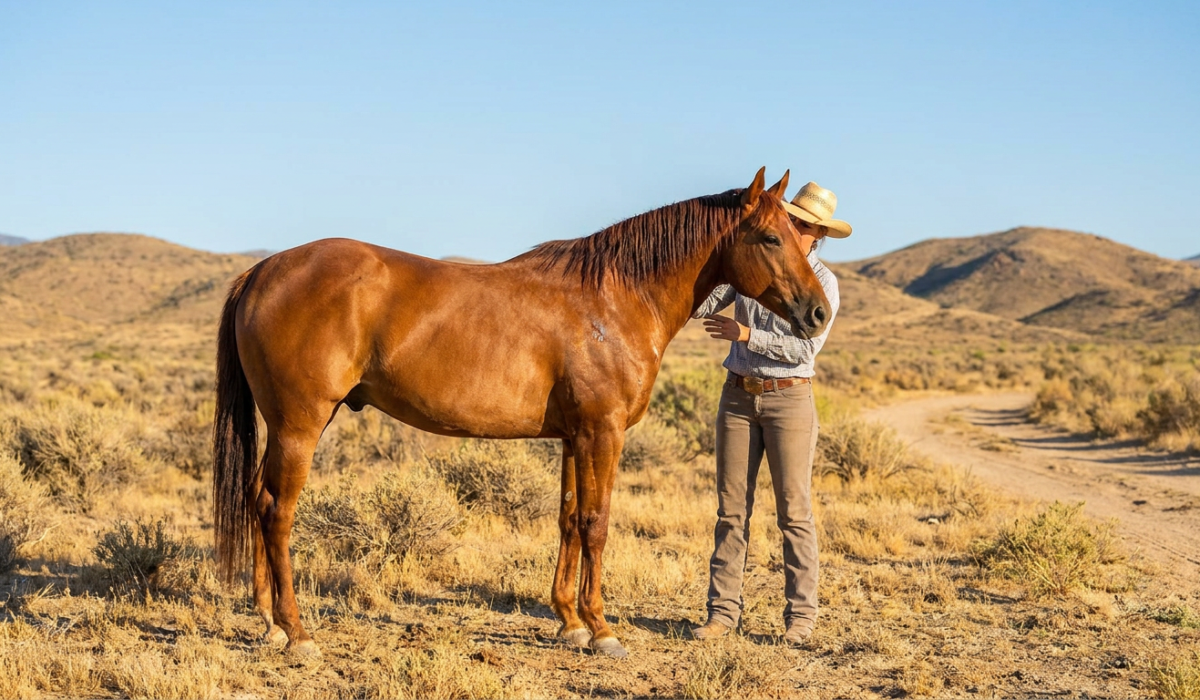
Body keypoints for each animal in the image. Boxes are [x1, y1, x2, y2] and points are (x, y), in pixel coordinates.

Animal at [212, 167, 831, 659]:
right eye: (771, 237)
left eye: (799, 239)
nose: (819, 313)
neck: (615, 299)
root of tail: (262, 271)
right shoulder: (602, 434)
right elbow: (597, 523)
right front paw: (602, 630)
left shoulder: (573, 437)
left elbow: (567, 519)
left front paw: (569, 623)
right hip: (300, 425)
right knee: (277, 512)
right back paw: (297, 634)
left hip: (281, 426)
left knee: (256, 499)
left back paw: (268, 622)